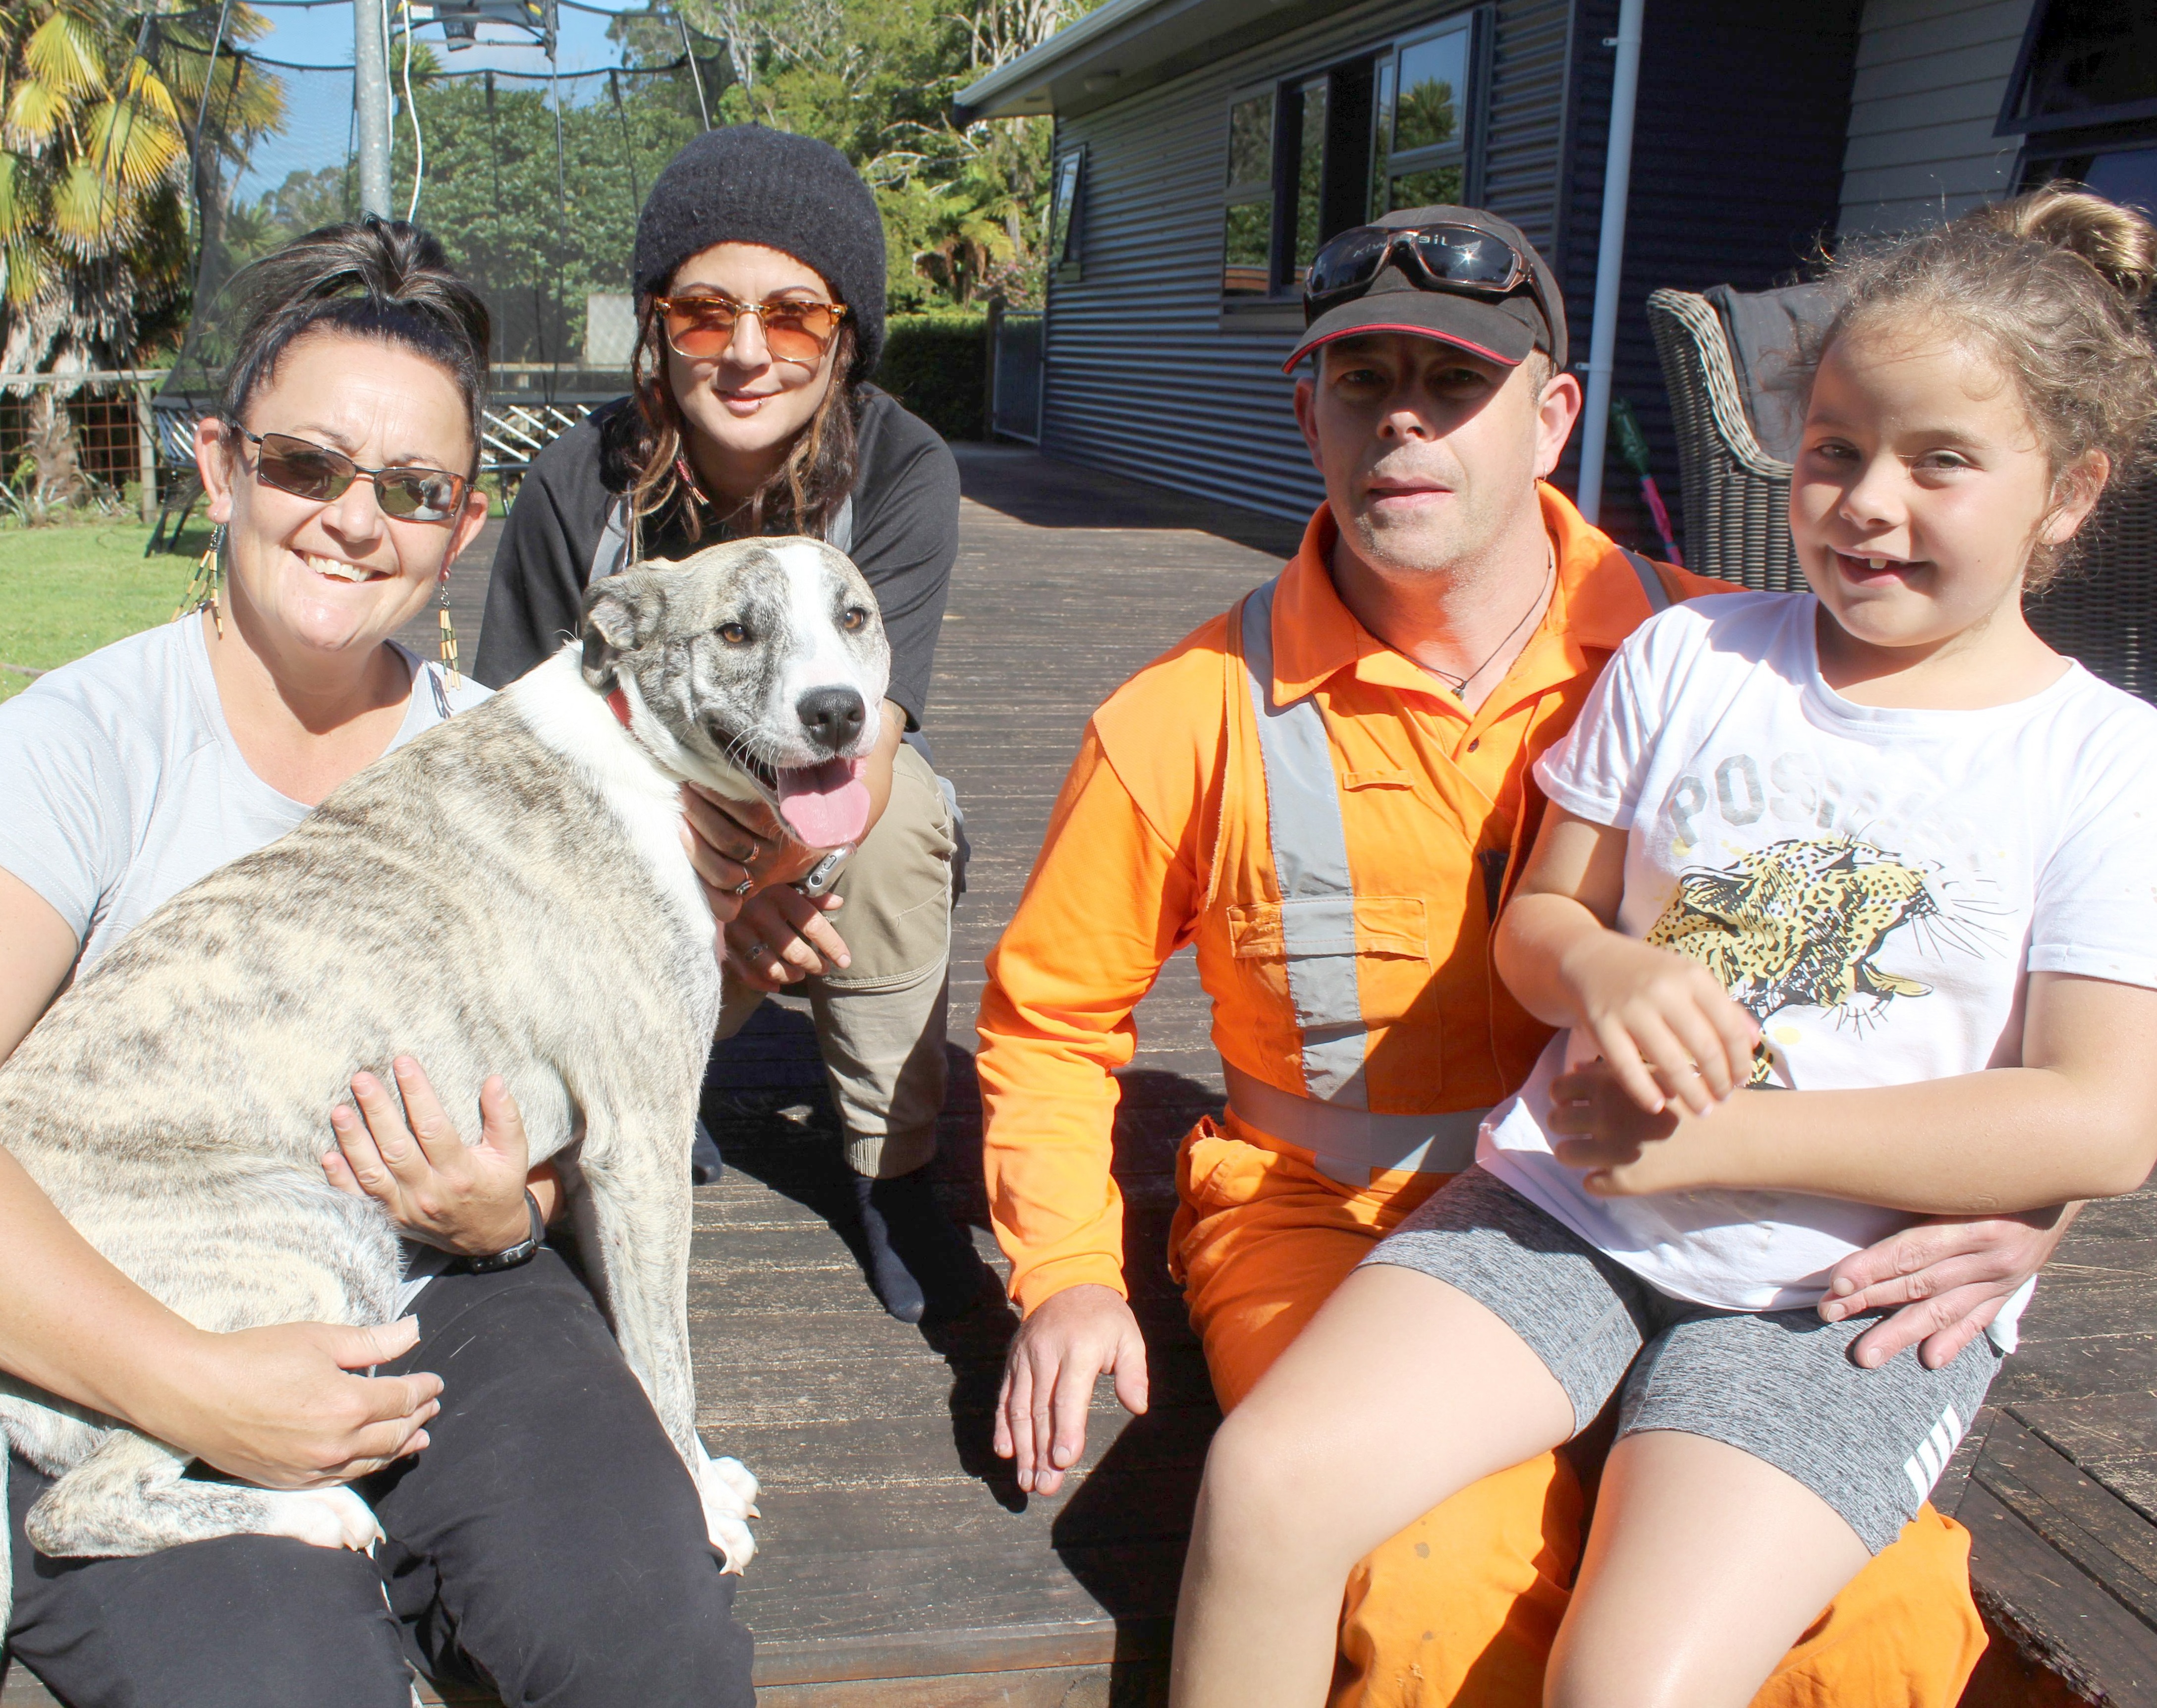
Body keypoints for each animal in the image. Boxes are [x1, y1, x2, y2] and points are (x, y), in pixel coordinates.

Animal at [0, 535, 893, 1630]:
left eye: (853, 617)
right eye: (734, 630)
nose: (836, 713)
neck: (634, 747)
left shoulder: (598, 1166)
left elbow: (639, 1345)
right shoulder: (642, 1140)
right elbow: (665, 1361)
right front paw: (699, 1507)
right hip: (313, 1252)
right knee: (82, 1504)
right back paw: (318, 1512)